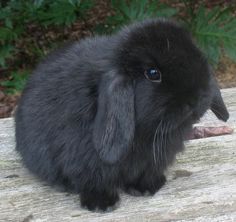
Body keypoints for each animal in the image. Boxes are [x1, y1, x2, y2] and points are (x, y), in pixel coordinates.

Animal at [14, 18, 229, 211]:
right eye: (153, 73)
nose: (197, 98)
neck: (145, 132)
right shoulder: (83, 161)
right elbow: (93, 181)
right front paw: (102, 204)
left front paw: (146, 188)